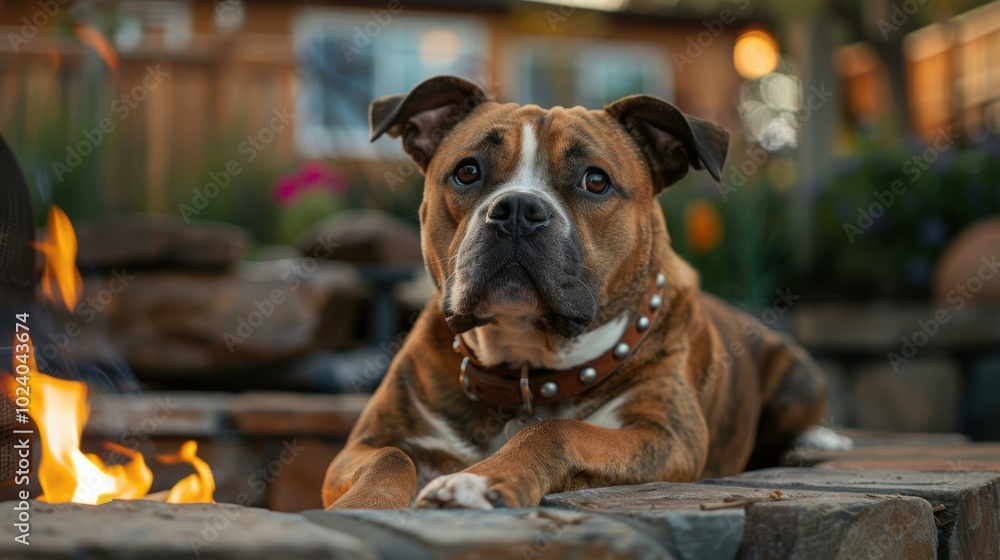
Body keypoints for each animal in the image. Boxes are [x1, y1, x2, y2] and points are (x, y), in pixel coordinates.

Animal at [322, 75, 828, 512]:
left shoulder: (664, 435)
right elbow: (389, 457)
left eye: (596, 180)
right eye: (467, 172)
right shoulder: (365, 442)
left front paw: (480, 480)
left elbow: (556, 430)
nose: (517, 209)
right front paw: (362, 506)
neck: (528, 368)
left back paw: (812, 445)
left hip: (797, 375)